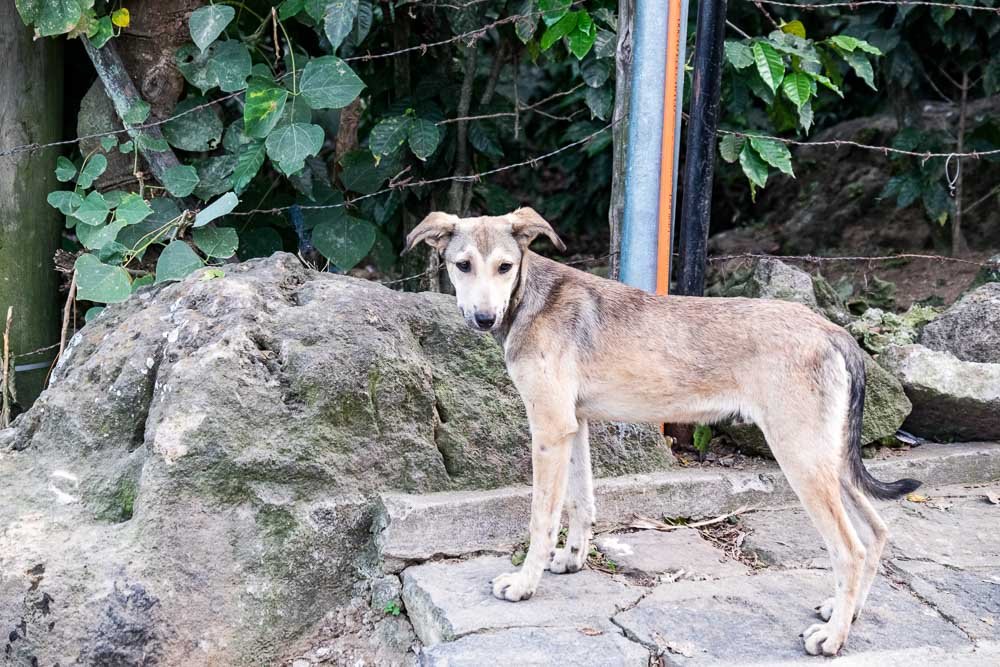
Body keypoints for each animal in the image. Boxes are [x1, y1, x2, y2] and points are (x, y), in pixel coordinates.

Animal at [402, 209, 916, 656]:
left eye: (505, 267)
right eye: (462, 265)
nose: (483, 319)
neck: (532, 297)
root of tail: (834, 332)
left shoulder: (548, 429)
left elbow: (541, 519)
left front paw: (525, 584)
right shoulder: (574, 426)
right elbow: (581, 504)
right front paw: (572, 561)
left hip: (801, 458)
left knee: (850, 549)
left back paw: (833, 638)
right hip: (829, 459)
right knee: (877, 532)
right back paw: (847, 613)